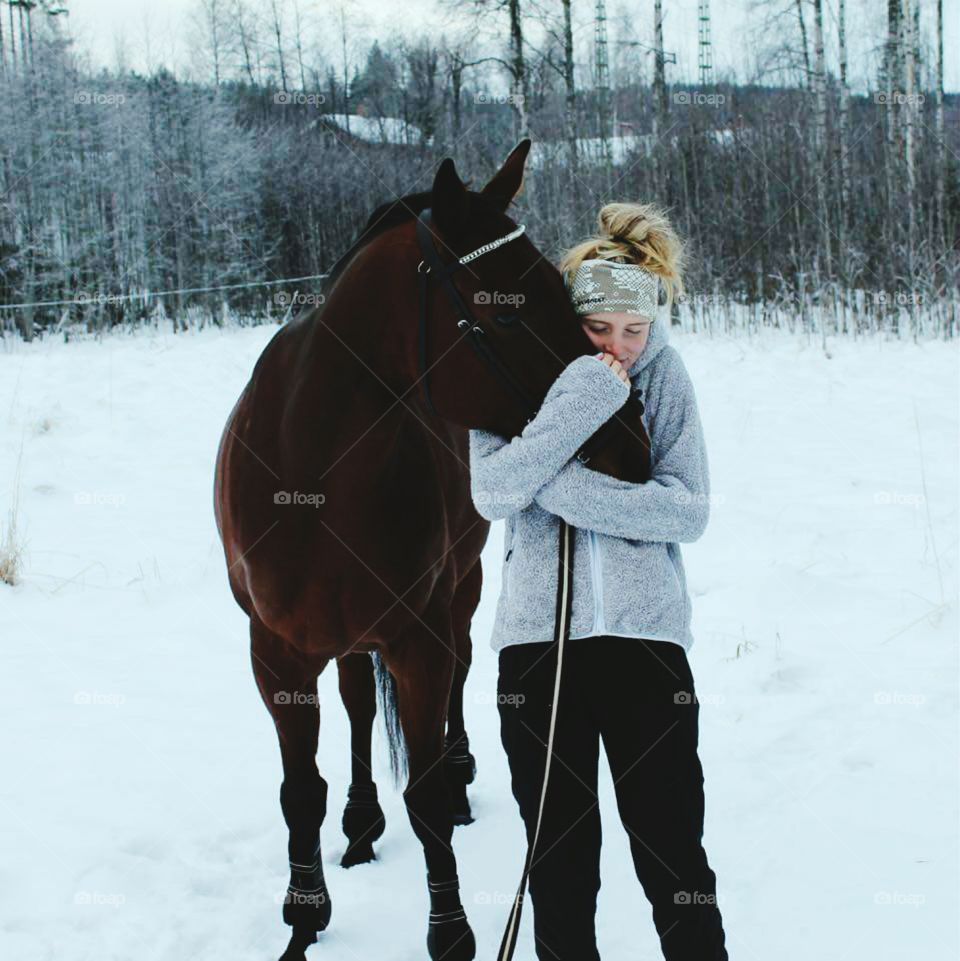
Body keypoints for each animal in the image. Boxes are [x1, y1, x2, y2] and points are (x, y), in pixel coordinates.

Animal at [213, 138, 651, 961]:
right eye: (506, 314)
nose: (632, 442)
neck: (310, 472)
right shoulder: (276, 649)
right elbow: (300, 790)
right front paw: (305, 916)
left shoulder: (416, 636)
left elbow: (424, 798)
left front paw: (450, 932)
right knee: (357, 700)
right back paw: (359, 823)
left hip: (460, 587)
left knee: (457, 671)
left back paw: (457, 768)